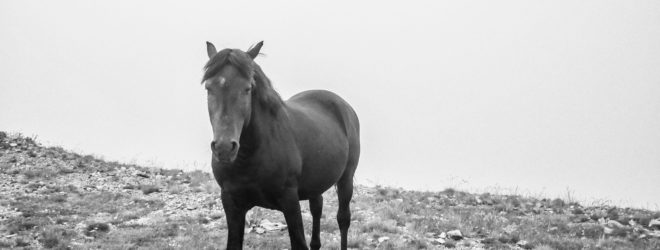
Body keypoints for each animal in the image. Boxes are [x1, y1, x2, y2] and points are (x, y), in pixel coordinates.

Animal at [202, 41, 360, 250]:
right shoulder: (231, 203)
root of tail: (344, 106)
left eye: (247, 88)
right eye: (208, 88)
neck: (250, 158)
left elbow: (299, 242)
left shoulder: (290, 202)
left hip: (346, 179)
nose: (224, 148)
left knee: (343, 219)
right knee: (317, 208)